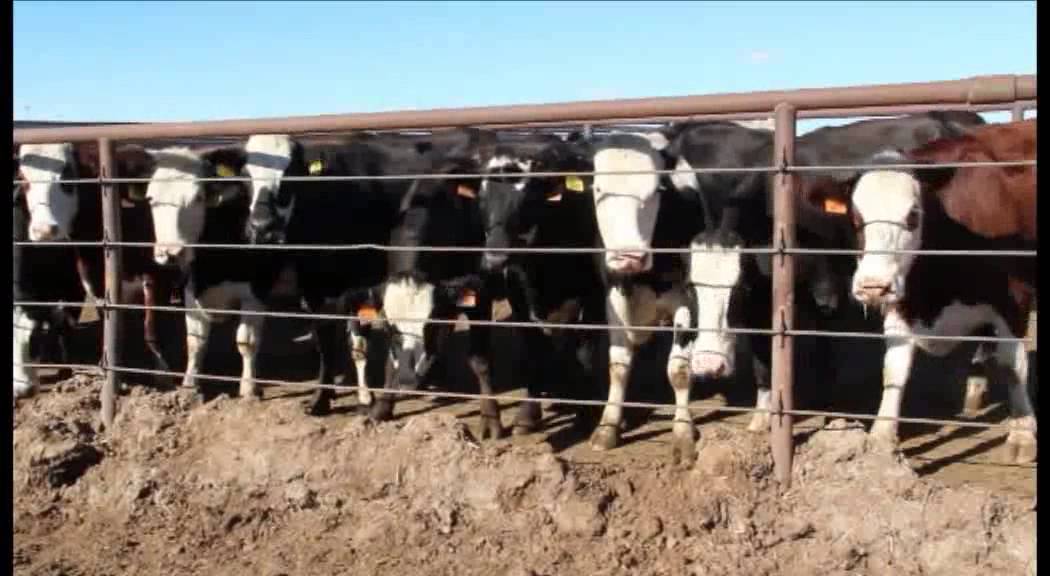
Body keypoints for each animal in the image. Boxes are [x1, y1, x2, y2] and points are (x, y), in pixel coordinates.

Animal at [14, 141, 179, 398]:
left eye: (69, 177)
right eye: (23, 178)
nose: (43, 230)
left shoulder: (156, 276)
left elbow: (151, 329)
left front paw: (163, 376)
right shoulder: (96, 284)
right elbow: (112, 328)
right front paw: (116, 377)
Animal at [475, 132, 609, 436]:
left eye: (527, 198)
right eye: (482, 199)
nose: (495, 258)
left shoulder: (586, 293)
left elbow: (576, 343)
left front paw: (585, 409)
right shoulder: (518, 291)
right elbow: (534, 346)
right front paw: (528, 413)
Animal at [674, 111, 991, 434]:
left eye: (739, 288)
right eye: (690, 288)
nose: (707, 366)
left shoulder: (827, 293)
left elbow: (826, 356)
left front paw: (831, 414)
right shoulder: (761, 301)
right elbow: (762, 357)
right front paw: (761, 415)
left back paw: (974, 388)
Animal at [801, 118, 1037, 464]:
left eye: (912, 215)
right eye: (856, 219)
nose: (873, 285)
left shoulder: (1014, 299)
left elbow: (1013, 365)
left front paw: (1022, 431)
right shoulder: (901, 300)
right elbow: (894, 370)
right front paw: (881, 436)